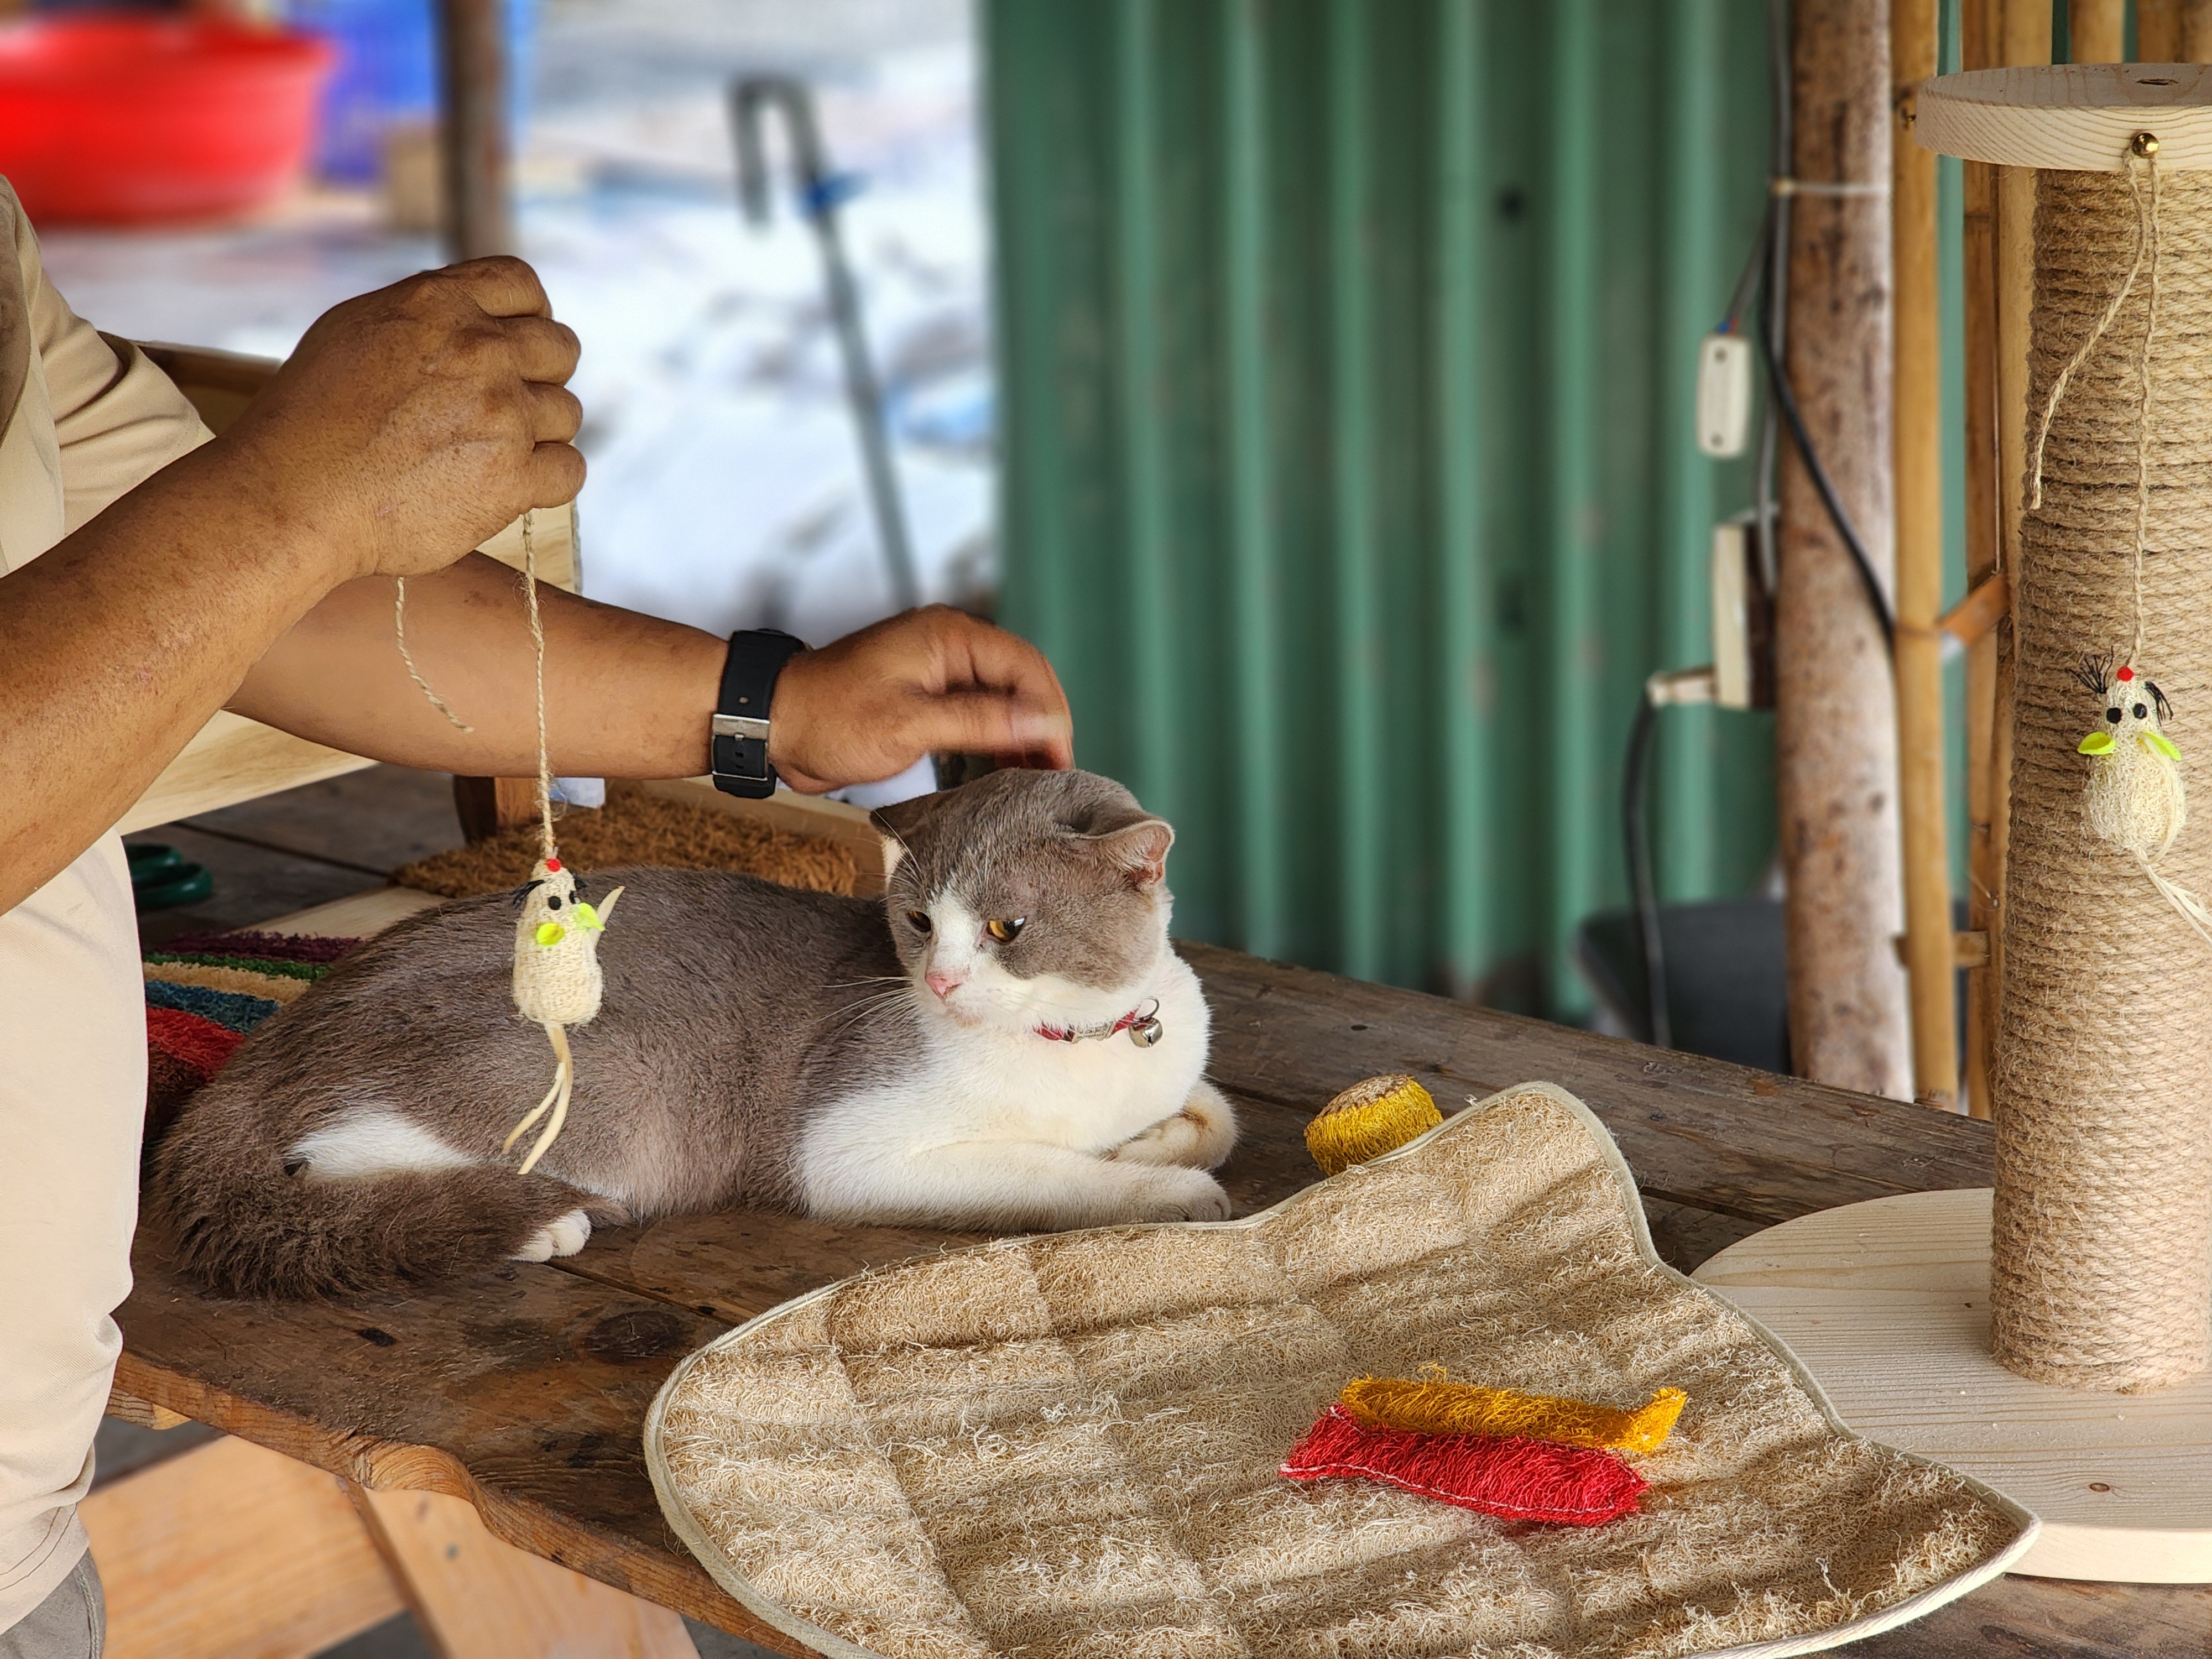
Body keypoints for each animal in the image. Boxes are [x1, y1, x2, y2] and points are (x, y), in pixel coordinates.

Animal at [147, 774, 1239, 1310]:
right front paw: (1169, 1189)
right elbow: (1063, 1174)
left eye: (1007, 929)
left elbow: (1213, 1112)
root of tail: (274, 1039)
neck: (1079, 1040)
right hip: (601, 1084)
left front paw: (1152, 1142)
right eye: (921, 922)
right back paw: (537, 1220)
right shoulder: (848, 1147)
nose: (938, 979)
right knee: (338, 1163)